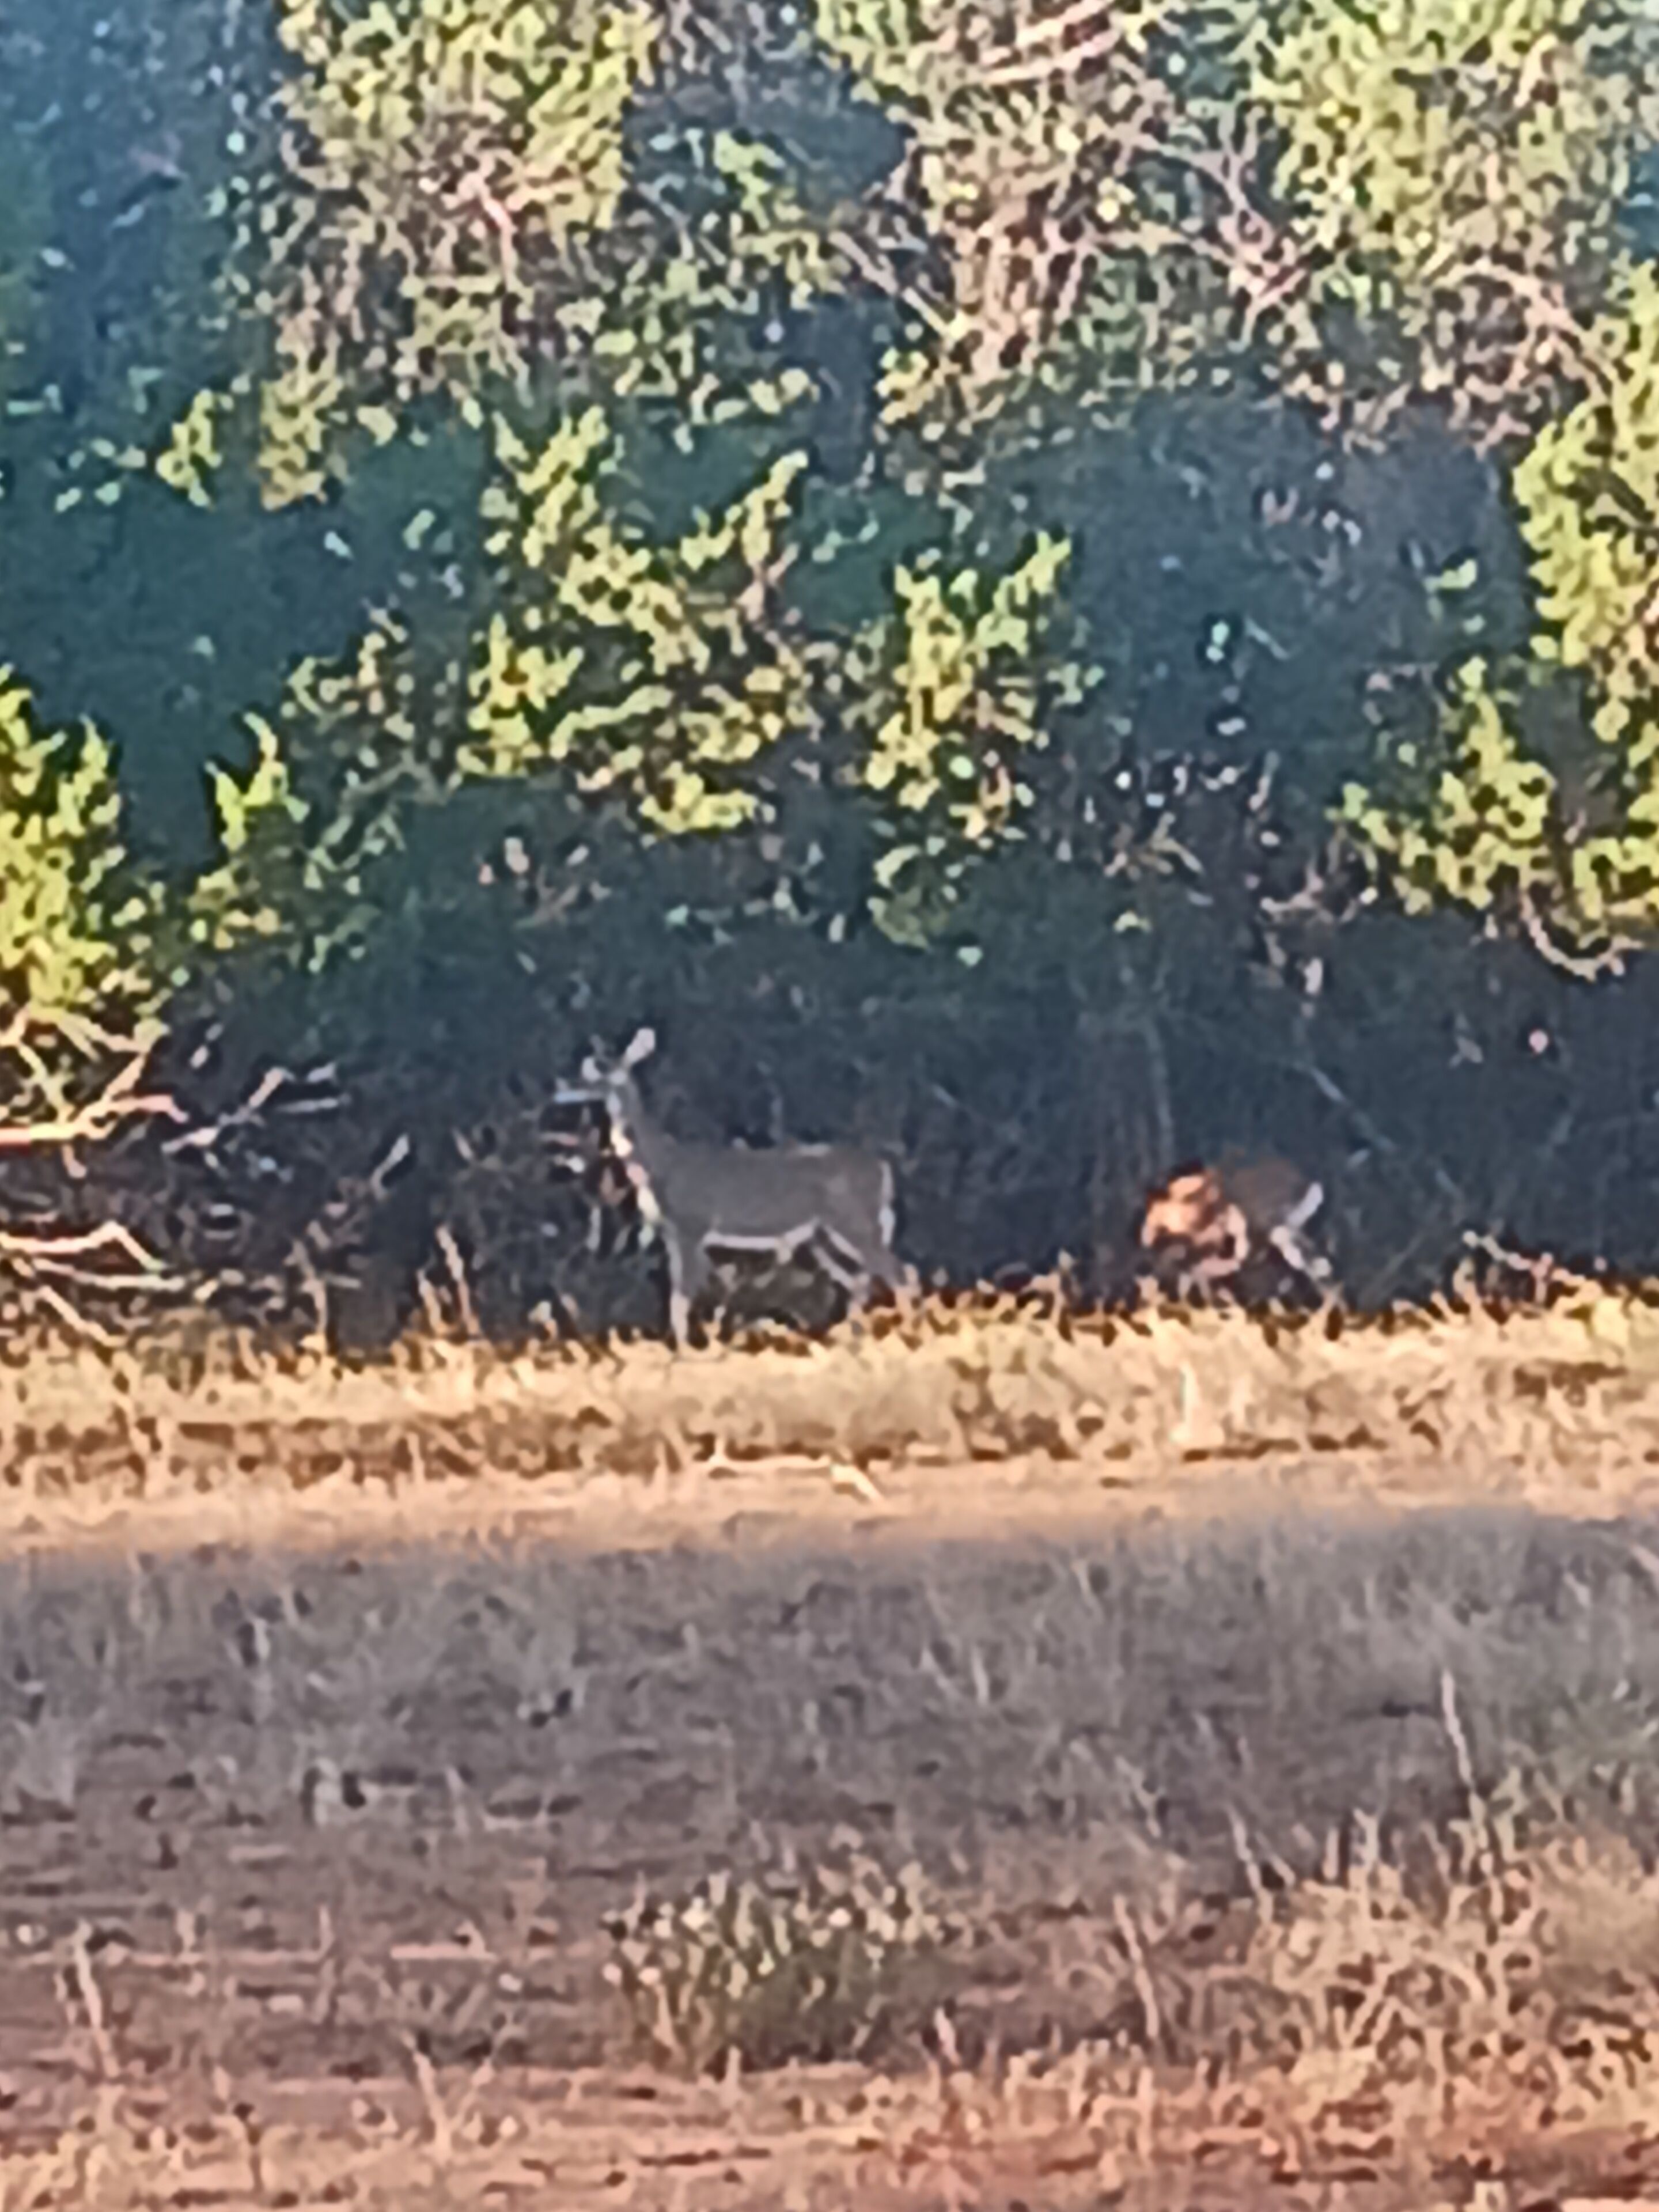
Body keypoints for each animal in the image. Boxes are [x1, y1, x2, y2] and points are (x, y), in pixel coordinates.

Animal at [572, 1028, 909, 1345]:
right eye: (589, 1070)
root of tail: (882, 1170)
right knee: (863, 1281)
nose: (573, 1090)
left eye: (607, 1072)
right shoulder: (672, 1232)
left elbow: (680, 1299)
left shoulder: (692, 1224)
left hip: (854, 1219)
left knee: (899, 1274)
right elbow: (680, 1297)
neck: (661, 1163)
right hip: (824, 1234)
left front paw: (685, 1351)